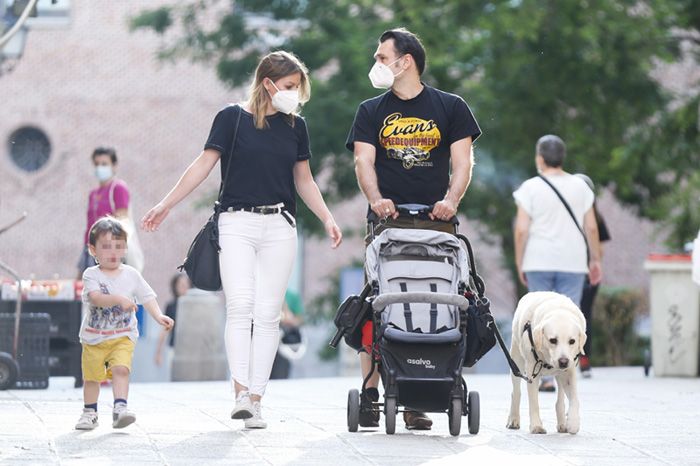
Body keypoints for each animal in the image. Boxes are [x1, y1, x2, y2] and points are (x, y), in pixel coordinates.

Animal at [508, 292, 584, 434]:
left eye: (572, 341)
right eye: (553, 340)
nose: (563, 361)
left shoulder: (570, 370)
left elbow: (575, 399)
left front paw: (573, 422)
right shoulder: (532, 371)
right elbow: (534, 402)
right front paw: (536, 426)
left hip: (560, 375)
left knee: (560, 398)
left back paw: (562, 423)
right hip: (516, 361)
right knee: (516, 392)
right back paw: (513, 420)